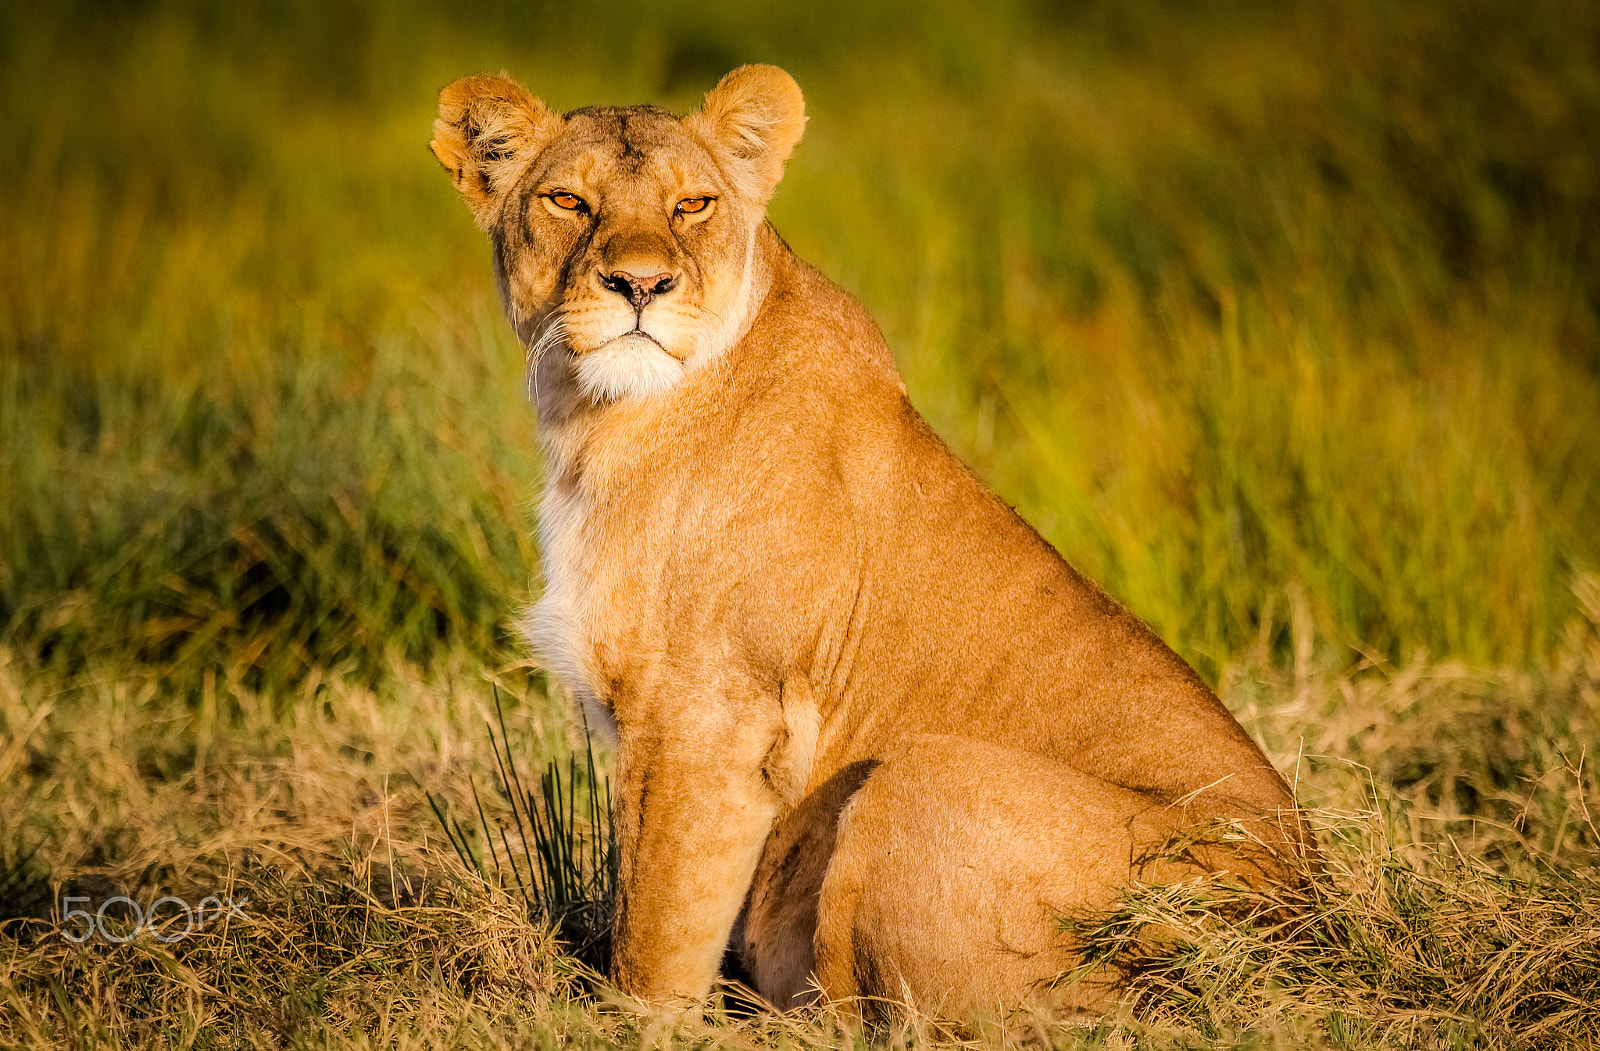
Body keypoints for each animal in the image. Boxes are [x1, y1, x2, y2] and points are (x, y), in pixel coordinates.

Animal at [430, 64, 1309, 1019]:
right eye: (568, 200)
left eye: (693, 204)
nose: (639, 284)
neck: (595, 419)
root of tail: (1309, 930)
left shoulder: (711, 713)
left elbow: (655, 937)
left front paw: (632, 1024)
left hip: (919, 773)